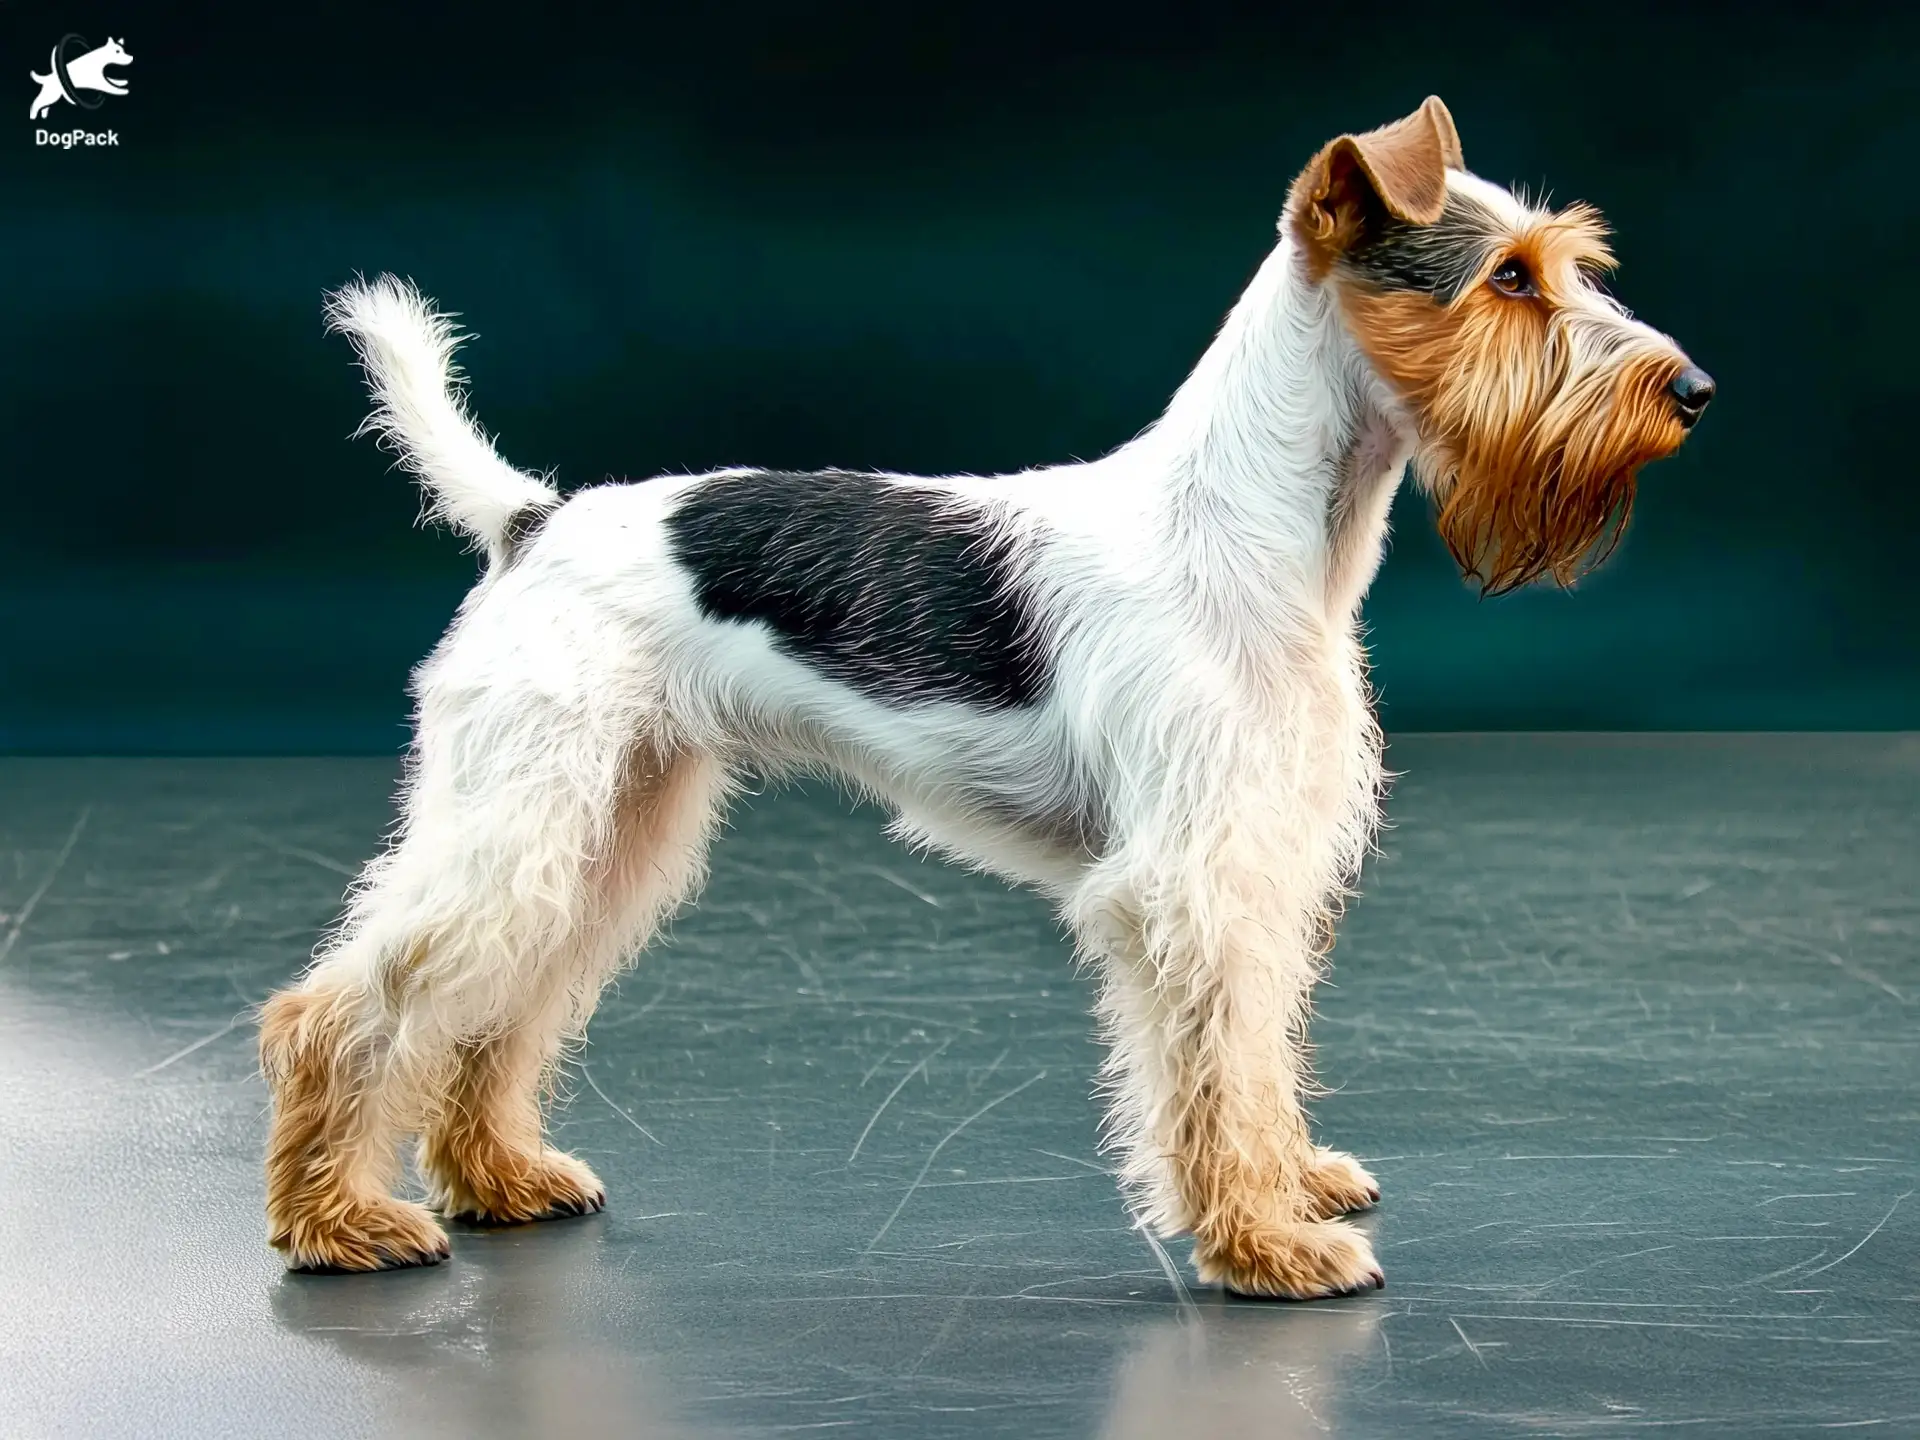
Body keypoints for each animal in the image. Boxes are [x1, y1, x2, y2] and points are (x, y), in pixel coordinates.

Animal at [255, 96, 1712, 1305]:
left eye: (1569, 263)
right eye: (1509, 277)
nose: (1693, 392)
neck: (1249, 528)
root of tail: (532, 520)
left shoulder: (1259, 858)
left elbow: (1258, 1052)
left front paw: (1289, 1185)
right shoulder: (1188, 883)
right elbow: (1210, 1072)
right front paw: (1265, 1244)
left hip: (607, 827)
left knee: (494, 1014)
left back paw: (498, 1181)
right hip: (520, 818)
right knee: (337, 1013)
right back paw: (340, 1223)